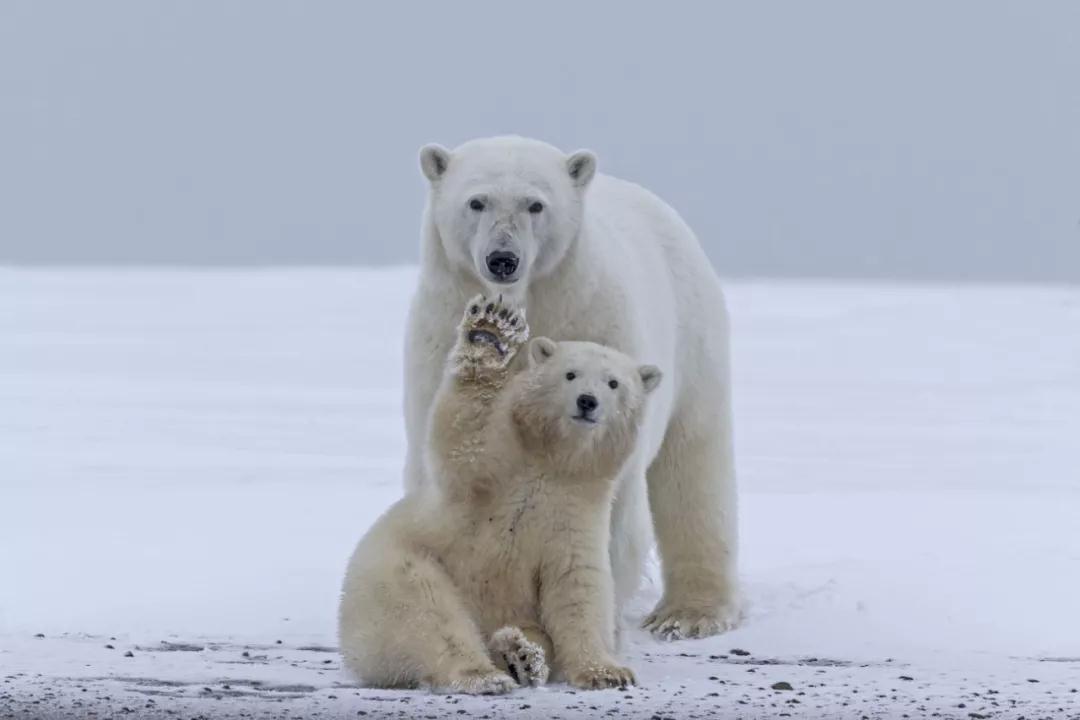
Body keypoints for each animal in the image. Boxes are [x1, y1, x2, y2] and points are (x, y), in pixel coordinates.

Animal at [339, 297, 656, 690]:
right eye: (570, 374)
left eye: (613, 383)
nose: (587, 401)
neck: (551, 463)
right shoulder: (498, 471)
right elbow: (464, 440)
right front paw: (491, 333)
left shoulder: (576, 512)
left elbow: (577, 587)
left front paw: (607, 672)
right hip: (396, 568)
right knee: (427, 612)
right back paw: (482, 673)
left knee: (528, 631)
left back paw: (521, 656)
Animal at [401, 133, 738, 634]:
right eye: (476, 201)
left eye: (535, 204)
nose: (503, 259)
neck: (528, 303)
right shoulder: (439, 333)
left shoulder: (593, 320)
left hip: (695, 339)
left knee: (693, 464)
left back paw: (690, 613)